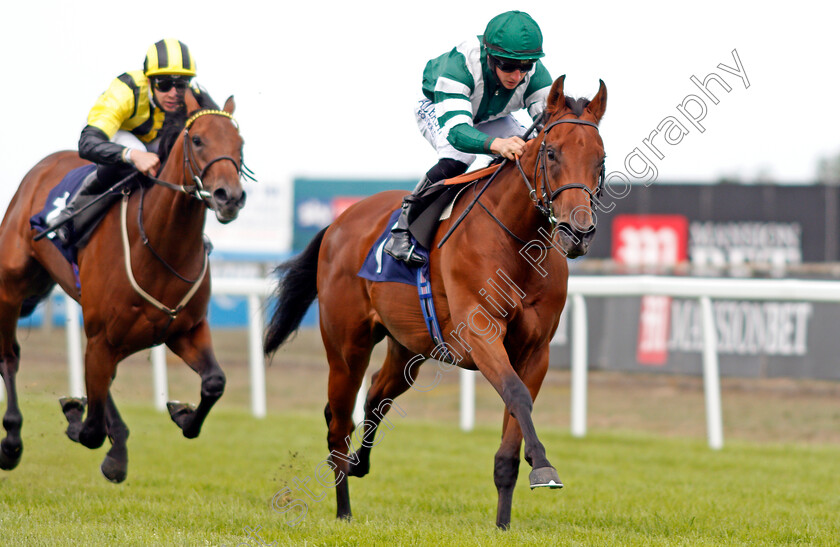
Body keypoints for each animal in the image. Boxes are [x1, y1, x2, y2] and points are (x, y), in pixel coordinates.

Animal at [0, 92, 248, 482]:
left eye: (241, 144)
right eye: (197, 140)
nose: (230, 197)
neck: (162, 247)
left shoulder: (185, 329)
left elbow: (214, 382)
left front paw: (182, 414)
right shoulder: (103, 336)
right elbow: (90, 429)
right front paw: (76, 415)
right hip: (12, 284)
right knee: (10, 356)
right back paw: (11, 442)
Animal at [266, 77, 608, 532]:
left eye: (600, 159)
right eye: (551, 153)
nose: (579, 232)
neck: (517, 241)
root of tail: (339, 222)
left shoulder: (536, 351)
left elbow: (511, 438)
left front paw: (503, 524)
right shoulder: (482, 336)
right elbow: (517, 396)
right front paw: (544, 467)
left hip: (406, 347)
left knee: (376, 397)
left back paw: (360, 464)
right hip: (345, 347)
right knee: (338, 423)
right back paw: (343, 509)